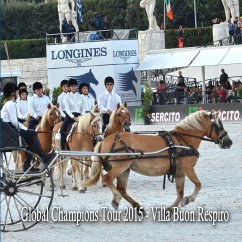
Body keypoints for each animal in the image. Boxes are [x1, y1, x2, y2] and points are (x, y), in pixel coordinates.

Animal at [82, 110, 233, 215]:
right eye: (218, 125)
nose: (229, 142)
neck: (183, 140)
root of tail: (105, 141)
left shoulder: (179, 173)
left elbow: (180, 193)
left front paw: (171, 209)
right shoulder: (188, 168)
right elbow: (198, 184)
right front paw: (188, 200)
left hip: (126, 169)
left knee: (122, 189)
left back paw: (138, 207)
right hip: (121, 166)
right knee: (108, 179)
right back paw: (116, 199)